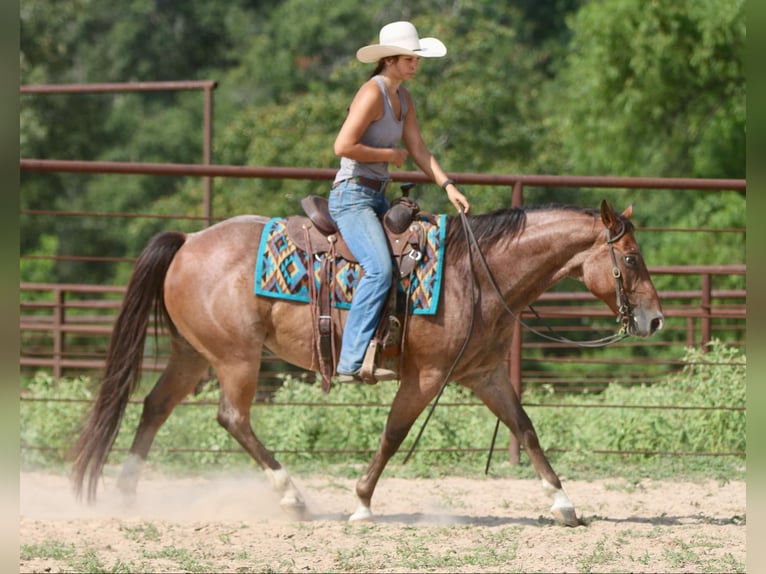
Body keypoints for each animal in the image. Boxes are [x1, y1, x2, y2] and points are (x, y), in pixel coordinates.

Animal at [71, 200, 664, 527]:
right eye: (632, 258)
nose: (655, 320)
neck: (477, 272)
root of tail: (189, 239)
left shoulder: (486, 375)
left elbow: (526, 428)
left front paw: (564, 504)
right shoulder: (425, 377)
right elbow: (393, 434)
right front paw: (360, 503)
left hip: (193, 355)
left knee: (153, 407)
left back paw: (126, 493)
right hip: (236, 358)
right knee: (231, 418)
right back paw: (292, 497)